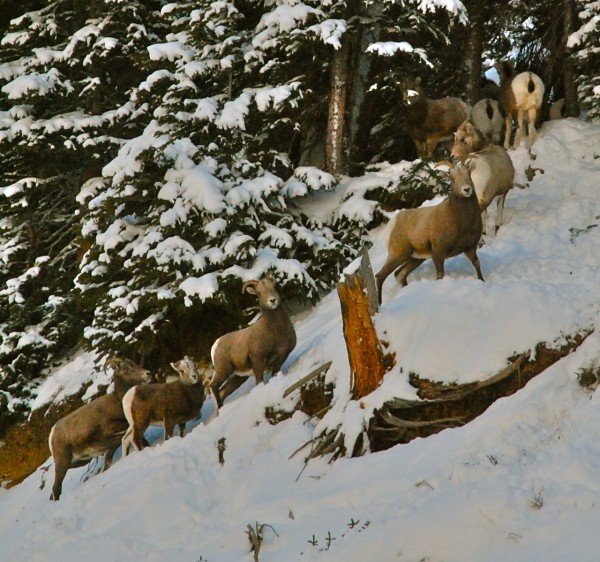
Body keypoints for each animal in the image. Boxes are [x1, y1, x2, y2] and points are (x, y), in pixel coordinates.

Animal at [49, 356, 152, 496]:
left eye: (135, 364)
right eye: (126, 368)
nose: (148, 373)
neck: (119, 402)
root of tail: (52, 433)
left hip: (75, 462)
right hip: (62, 463)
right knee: (56, 488)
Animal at [210, 276, 296, 404]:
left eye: (274, 287)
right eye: (259, 293)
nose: (272, 300)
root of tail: (215, 345)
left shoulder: (282, 357)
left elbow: (275, 373)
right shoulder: (258, 361)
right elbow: (259, 382)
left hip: (237, 377)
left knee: (222, 392)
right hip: (223, 371)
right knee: (213, 386)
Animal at [376, 162, 482, 302]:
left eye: (468, 174)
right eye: (452, 179)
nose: (467, 189)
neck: (460, 220)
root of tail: (391, 224)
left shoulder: (471, 248)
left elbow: (477, 264)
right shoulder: (438, 252)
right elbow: (440, 274)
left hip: (415, 259)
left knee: (399, 274)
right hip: (398, 255)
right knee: (380, 276)